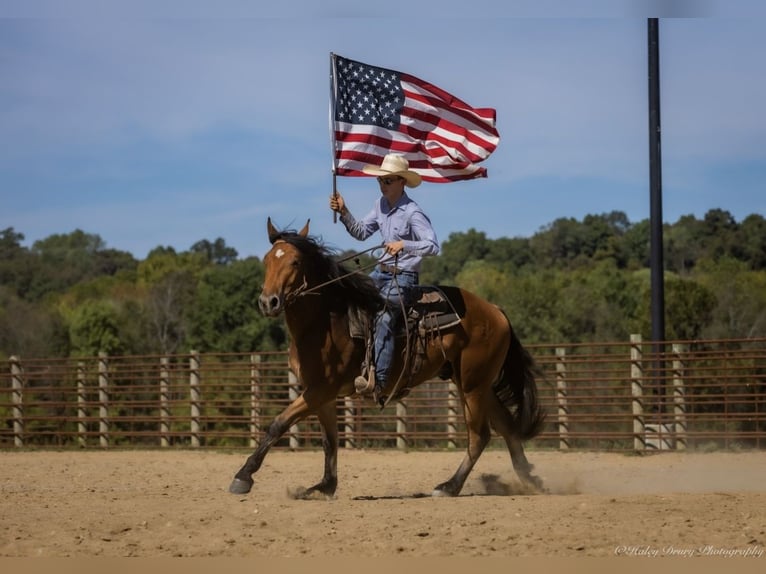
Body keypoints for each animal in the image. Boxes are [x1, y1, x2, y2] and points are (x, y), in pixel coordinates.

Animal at [229, 218, 546, 498]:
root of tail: (495, 311)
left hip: (471, 386)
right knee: (507, 427)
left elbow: (278, 423)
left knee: (480, 436)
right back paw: (530, 480)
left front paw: (243, 476)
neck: (326, 322)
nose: (268, 302)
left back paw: (449, 487)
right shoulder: (321, 395)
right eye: (267, 260)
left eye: (294, 262)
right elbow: (330, 442)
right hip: (478, 384)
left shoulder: (320, 390)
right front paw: (324, 487)